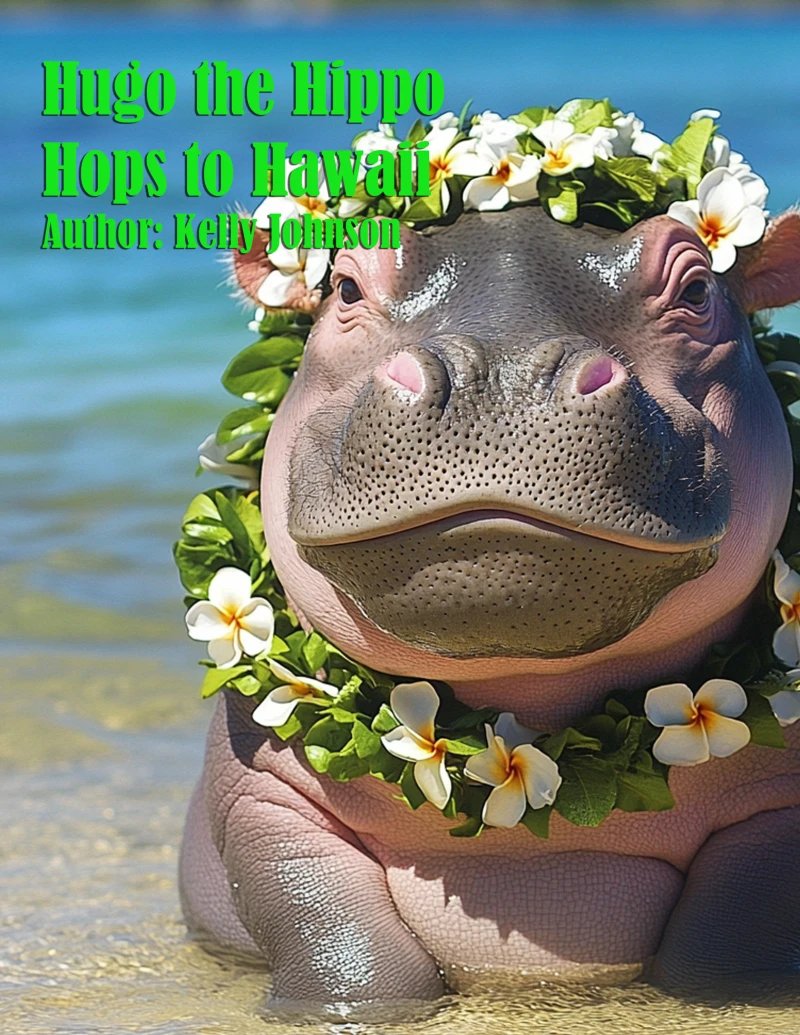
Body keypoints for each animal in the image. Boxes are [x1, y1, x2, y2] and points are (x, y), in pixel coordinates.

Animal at [178, 203, 800, 1013]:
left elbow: (728, 952)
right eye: (343, 284)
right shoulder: (266, 797)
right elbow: (345, 950)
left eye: (697, 287)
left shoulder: (772, 811)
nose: (502, 376)